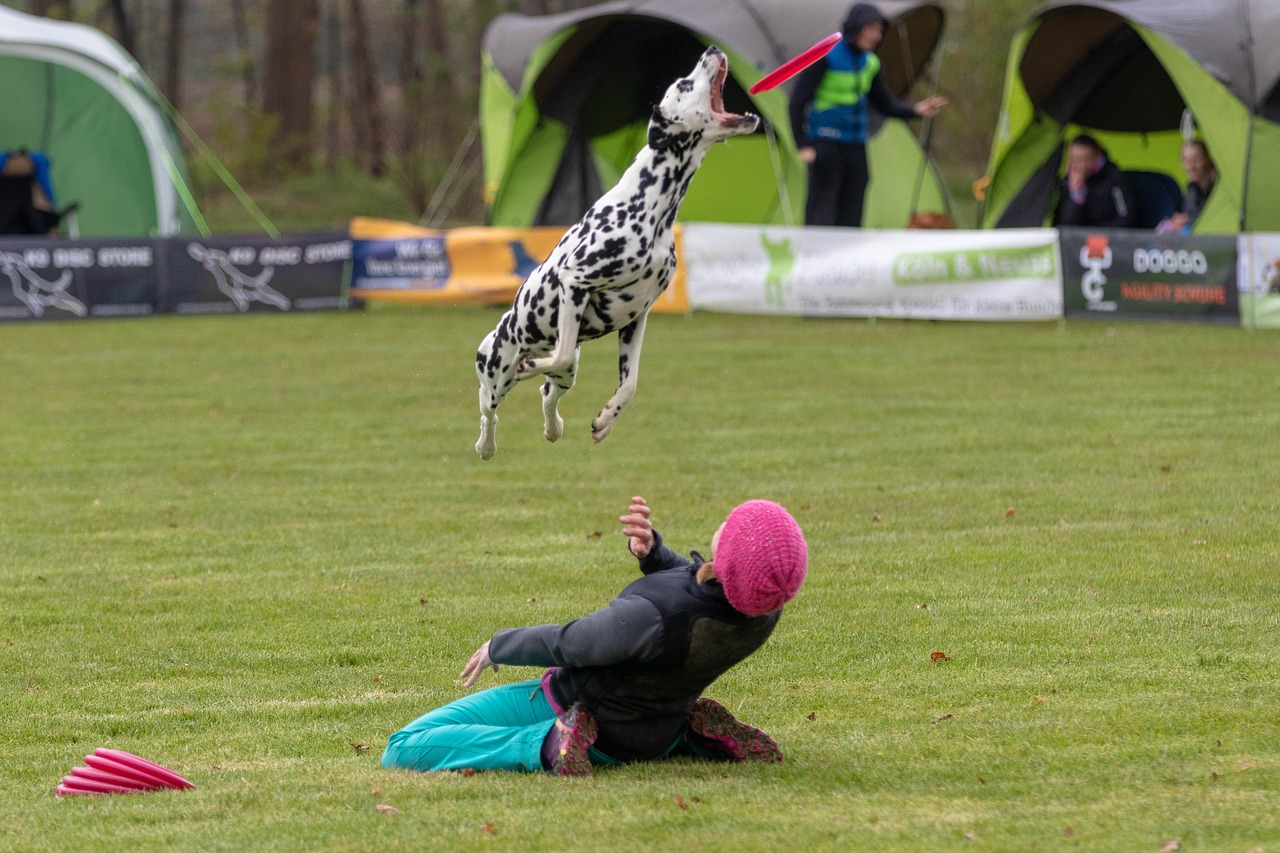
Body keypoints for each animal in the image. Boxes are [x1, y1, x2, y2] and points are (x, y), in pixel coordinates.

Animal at [473, 44, 752, 458]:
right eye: (684, 84)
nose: (712, 49)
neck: (651, 204)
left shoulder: (637, 317)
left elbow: (630, 383)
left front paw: (607, 419)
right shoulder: (575, 280)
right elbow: (561, 350)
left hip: (567, 376)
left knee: (548, 394)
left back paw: (554, 427)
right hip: (496, 371)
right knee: (489, 410)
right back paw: (487, 444)